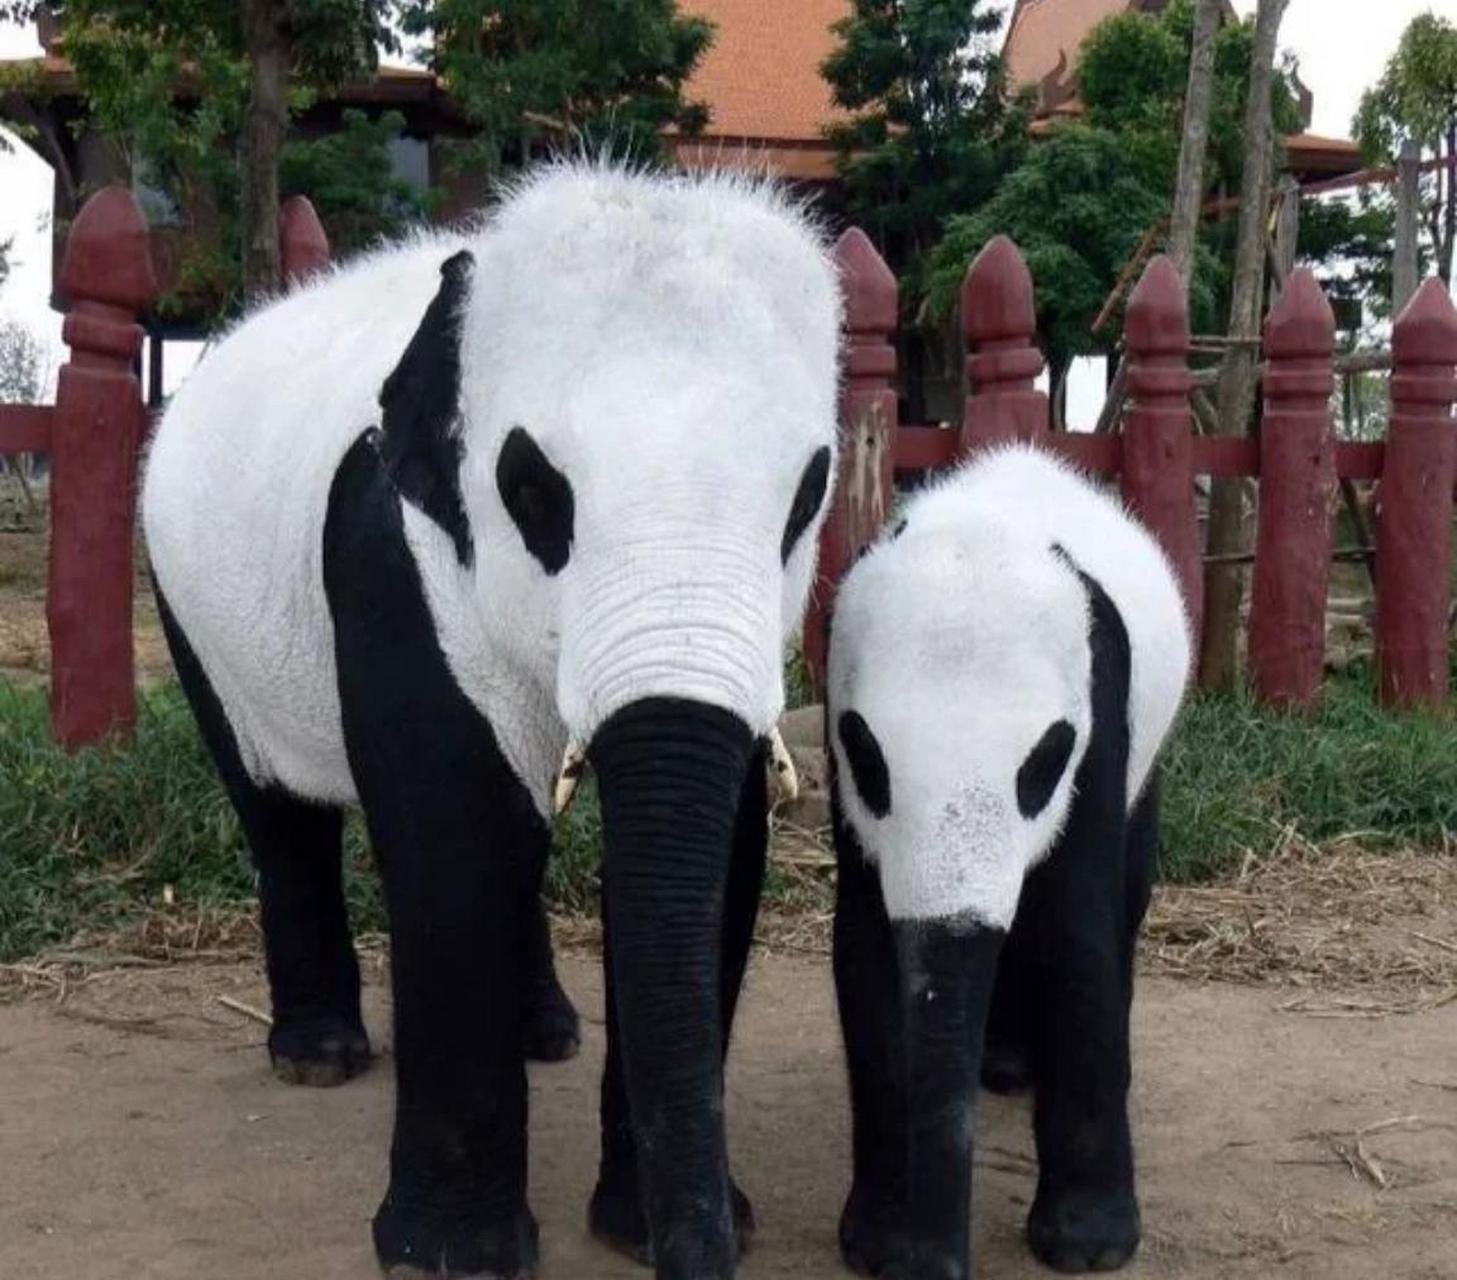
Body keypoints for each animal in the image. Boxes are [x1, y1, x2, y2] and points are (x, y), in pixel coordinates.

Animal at [143, 165, 845, 1275]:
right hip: (188, 602)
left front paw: (650, 1225)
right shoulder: (391, 551)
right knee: (275, 805)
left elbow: (712, 843)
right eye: (532, 491)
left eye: (806, 497)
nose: (702, 1250)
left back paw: (546, 1032)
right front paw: (452, 1254)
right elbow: (452, 828)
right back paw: (319, 1056)